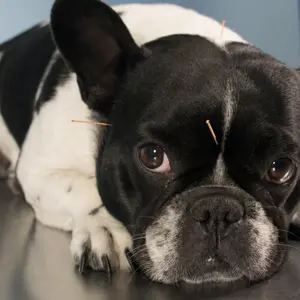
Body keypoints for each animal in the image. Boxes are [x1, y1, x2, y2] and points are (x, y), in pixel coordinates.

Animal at [0, 0, 300, 290]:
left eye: (280, 168)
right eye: (153, 156)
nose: (218, 209)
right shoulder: (40, 170)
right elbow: (86, 191)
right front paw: (104, 228)